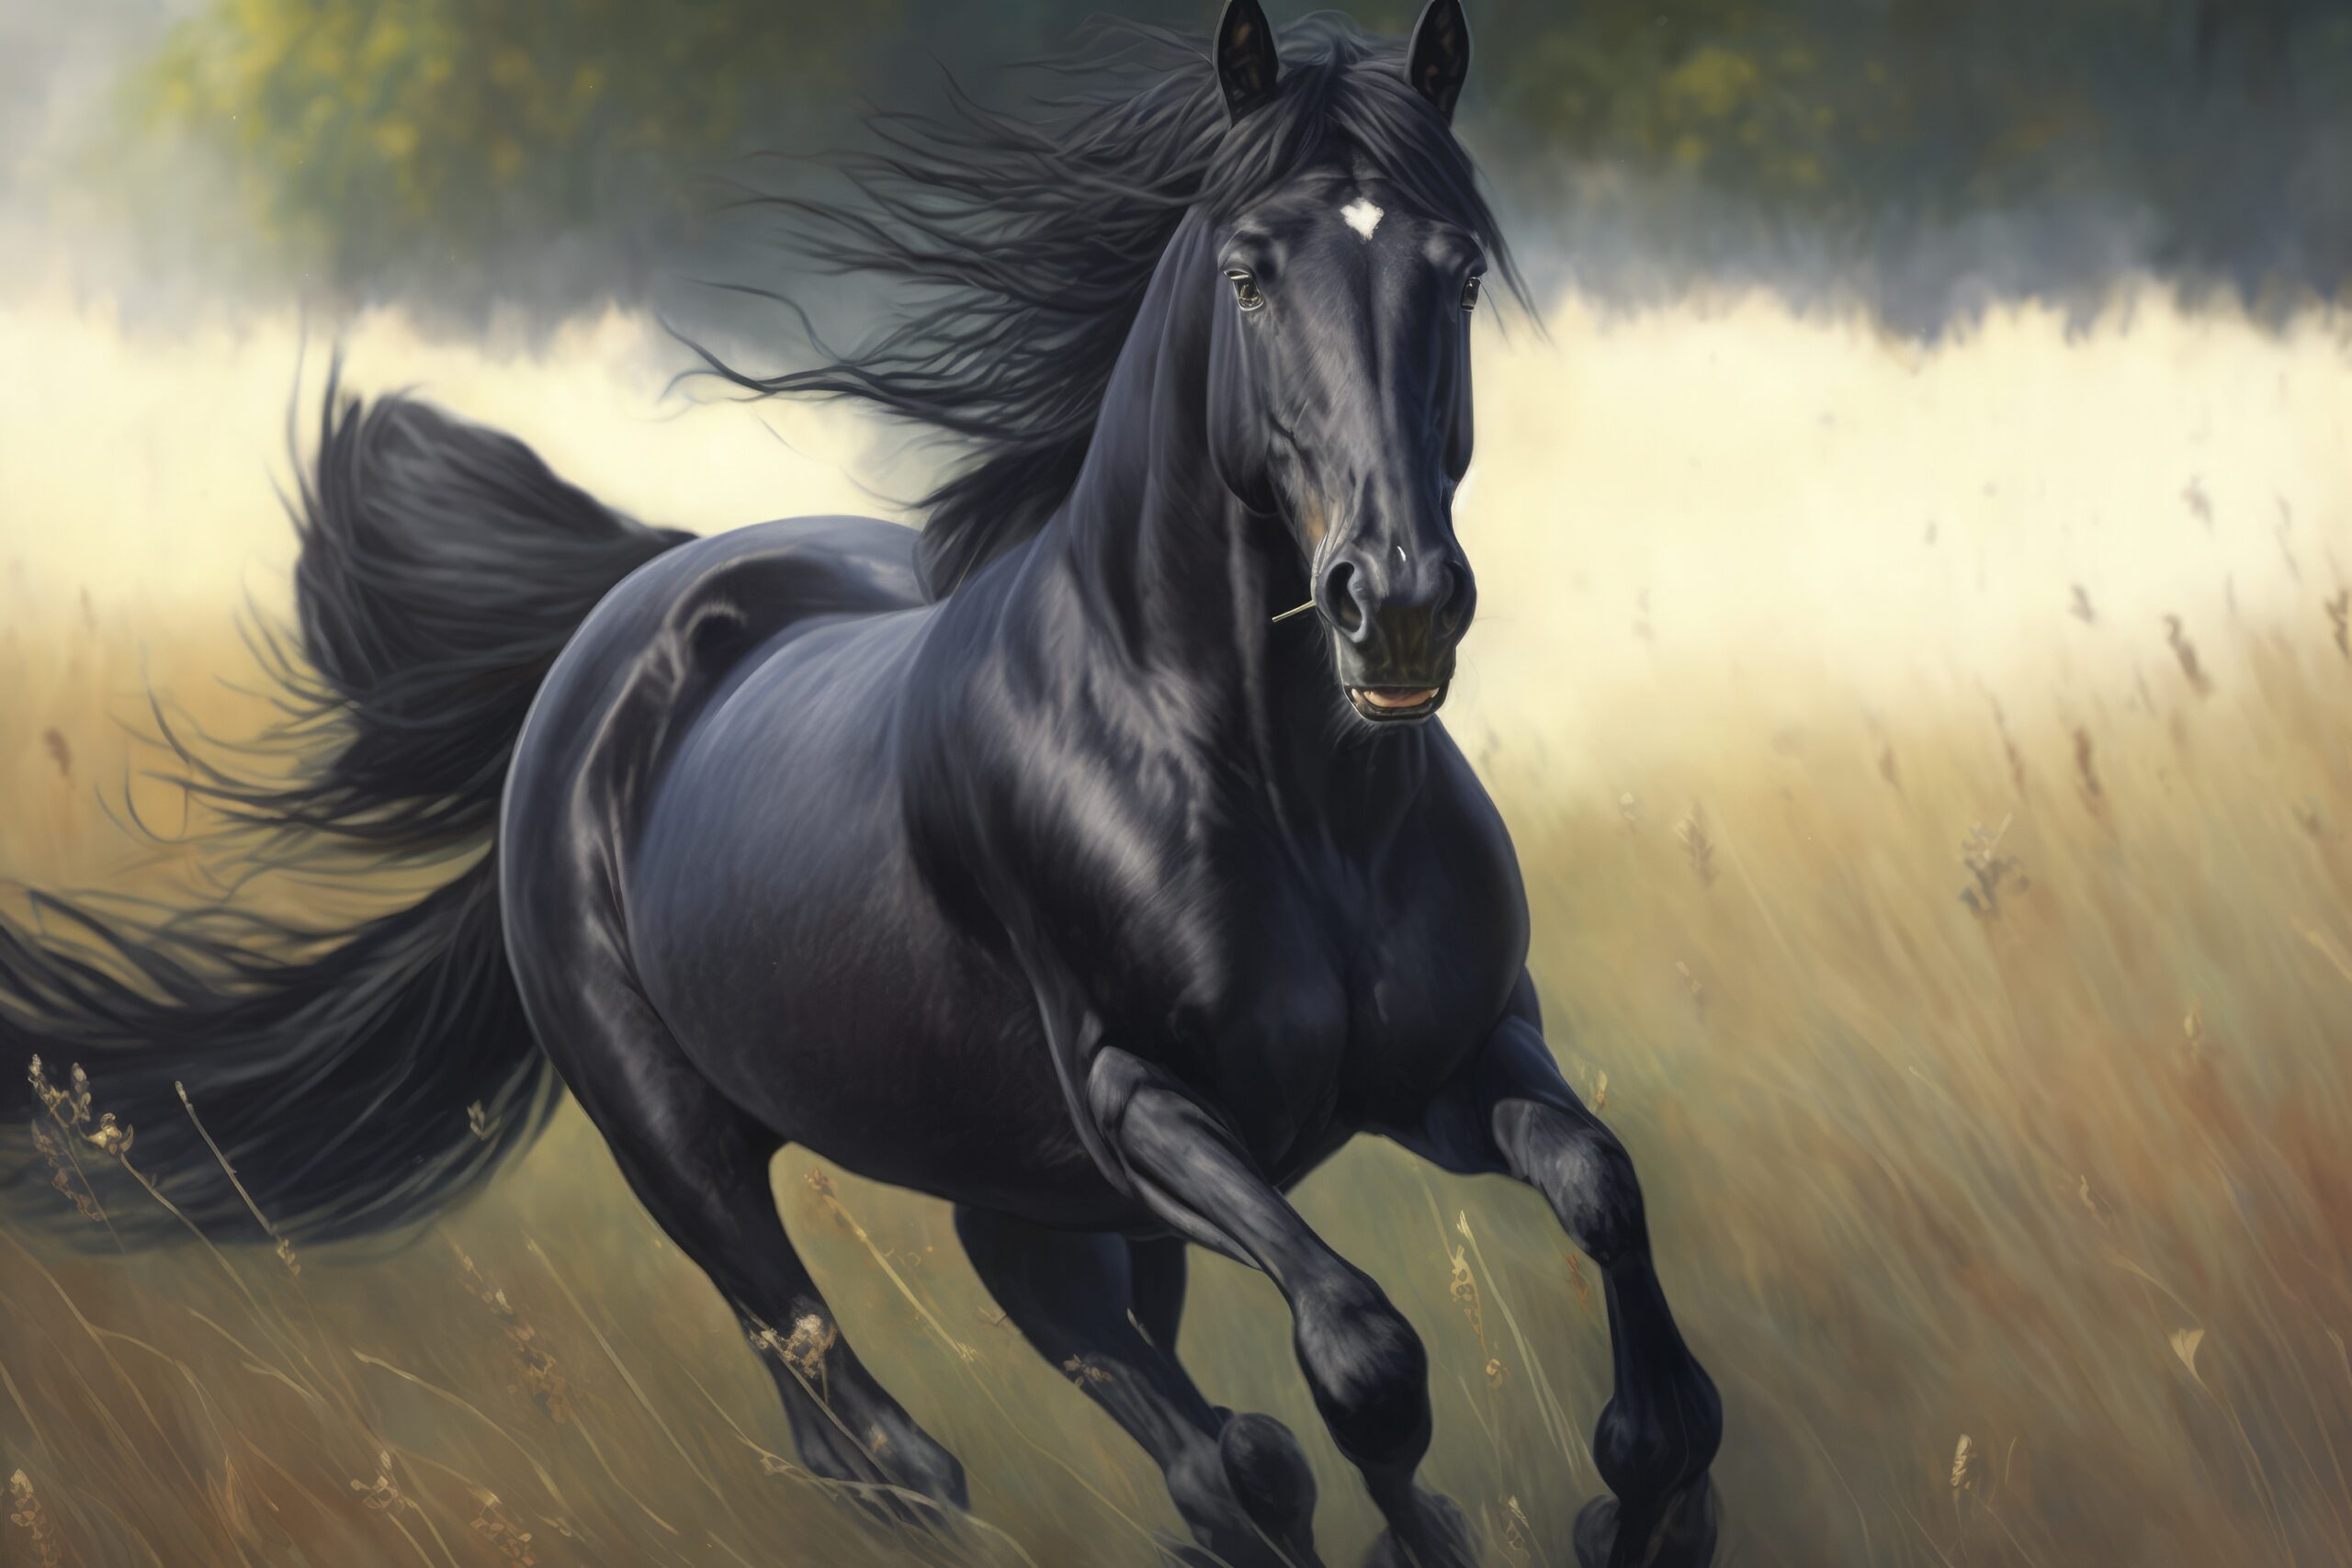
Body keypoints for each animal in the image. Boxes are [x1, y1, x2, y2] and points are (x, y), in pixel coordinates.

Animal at [2, 5, 1722, 1564]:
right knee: (900, 1446)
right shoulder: (1146, 1106)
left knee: (1158, 1428)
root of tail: (628, 620)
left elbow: (1602, 1188)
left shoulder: (1457, 1055)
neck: (1294, 797)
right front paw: (1464, 1522)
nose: (1399, 600)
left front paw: (1645, 1492)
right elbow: (1363, 1355)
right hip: (695, 1156)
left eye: (1461, 271)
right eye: (1248, 271)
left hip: (1035, 1200)